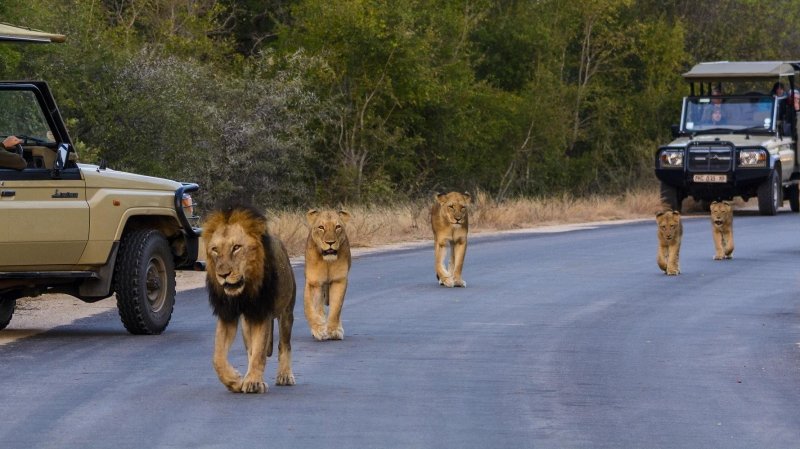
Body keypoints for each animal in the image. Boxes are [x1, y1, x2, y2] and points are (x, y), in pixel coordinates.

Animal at [203, 204, 296, 392]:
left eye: (236, 247)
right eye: (215, 250)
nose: (223, 275)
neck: (243, 293)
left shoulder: (262, 313)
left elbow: (260, 352)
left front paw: (253, 381)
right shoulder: (227, 315)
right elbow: (218, 358)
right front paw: (235, 380)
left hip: (286, 312)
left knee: (284, 345)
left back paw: (284, 375)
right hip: (247, 323)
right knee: (249, 350)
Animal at [304, 209, 350, 340]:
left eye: (337, 227)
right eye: (321, 227)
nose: (330, 243)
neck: (327, 261)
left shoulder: (339, 280)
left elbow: (336, 308)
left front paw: (334, 330)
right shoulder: (313, 282)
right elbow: (310, 309)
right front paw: (318, 329)